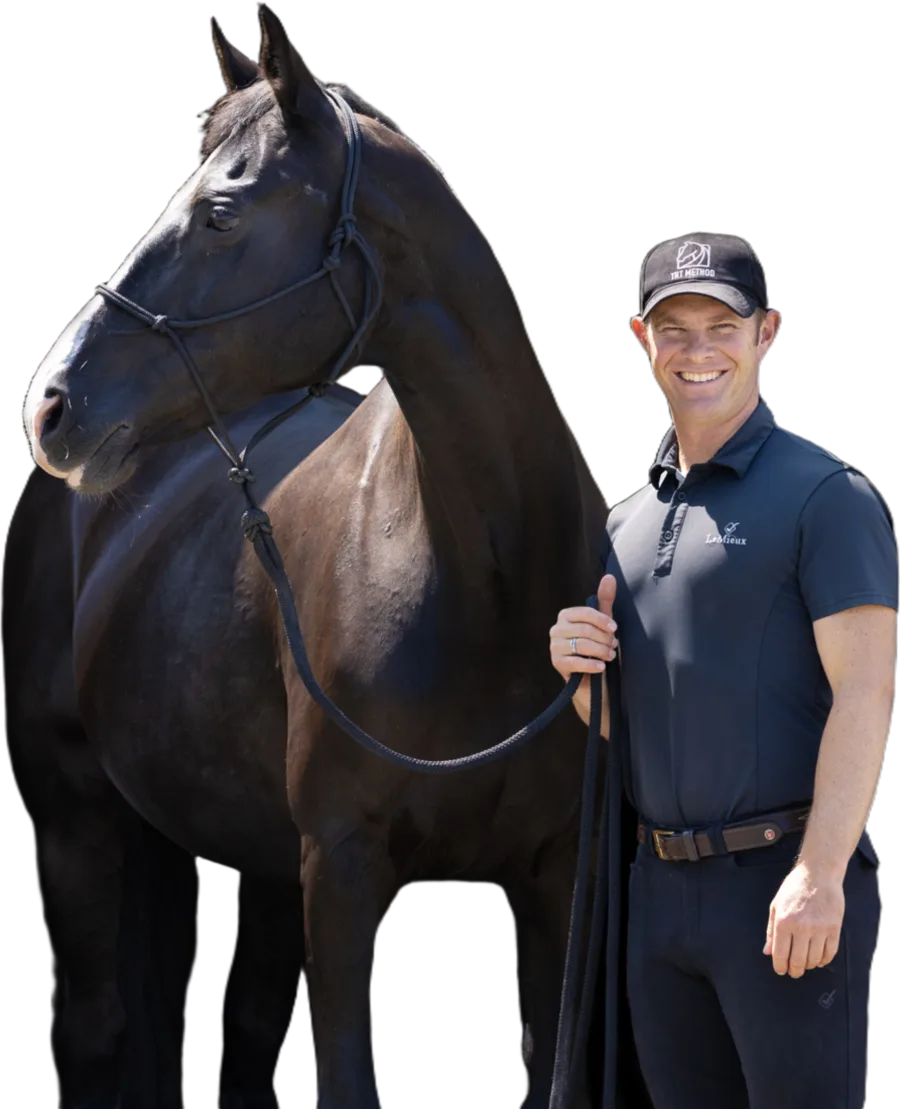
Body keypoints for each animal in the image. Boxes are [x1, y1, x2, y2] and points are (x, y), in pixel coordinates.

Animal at [11, 5, 609, 1106]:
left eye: (220, 213)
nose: (51, 404)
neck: (488, 583)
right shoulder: (341, 870)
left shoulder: (554, 878)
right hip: (75, 817)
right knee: (97, 1029)